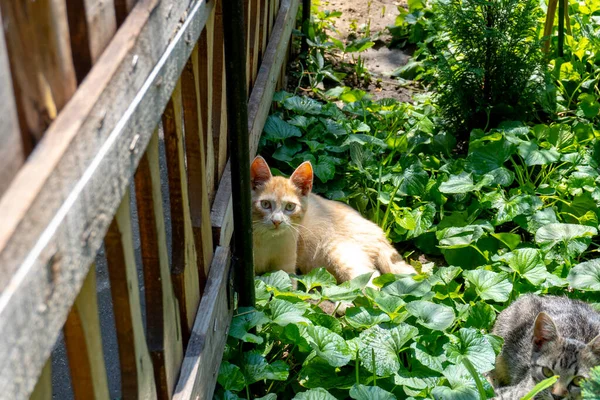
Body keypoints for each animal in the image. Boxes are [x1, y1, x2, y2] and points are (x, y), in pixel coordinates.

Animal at [247, 155, 412, 282]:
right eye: (265, 204)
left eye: (290, 207)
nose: (276, 221)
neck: (266, 240)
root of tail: (378, 231)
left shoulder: (287, 270)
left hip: (340, 252)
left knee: (369, 280)